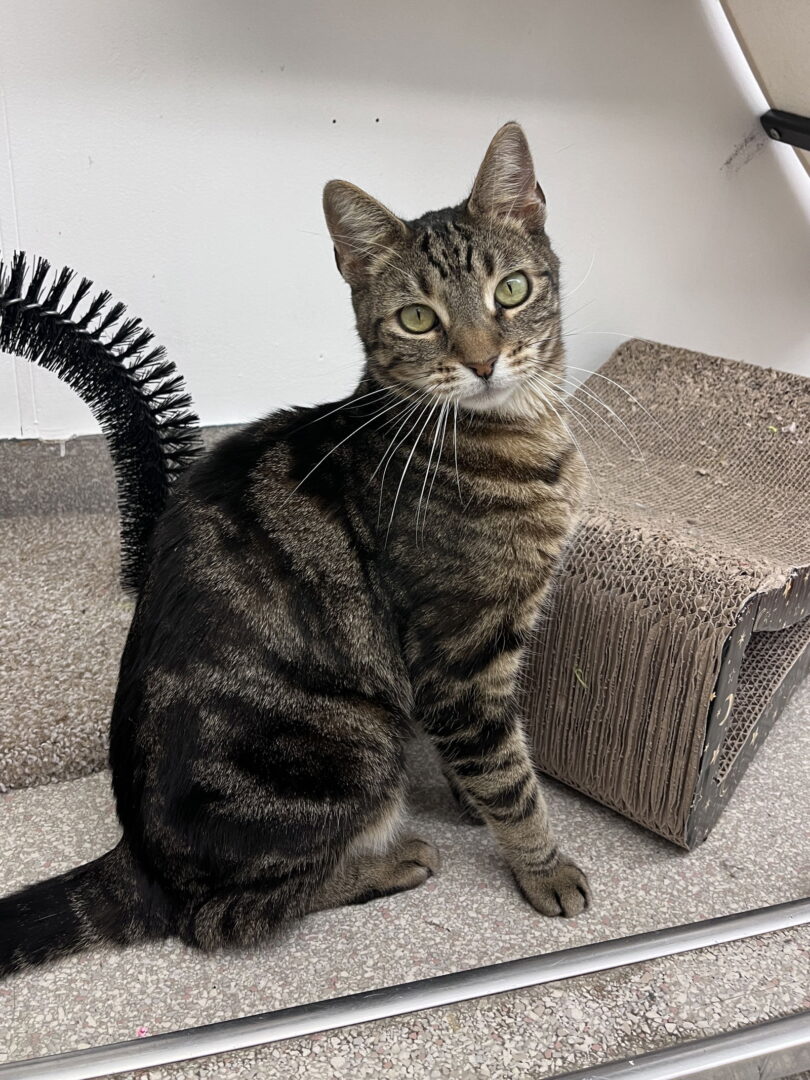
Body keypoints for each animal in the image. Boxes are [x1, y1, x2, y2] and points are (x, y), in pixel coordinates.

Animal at [0, 121, 589, 976]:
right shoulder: (460, 654)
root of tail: (140, 860)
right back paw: (390, 861)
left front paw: (472, 805)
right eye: (418, 318)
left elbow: (482, 762)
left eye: (510, 291)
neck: (516, 439)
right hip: (361, 739)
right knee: (226, 918)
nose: (483, 360)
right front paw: (543, 867)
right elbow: (510, 776)